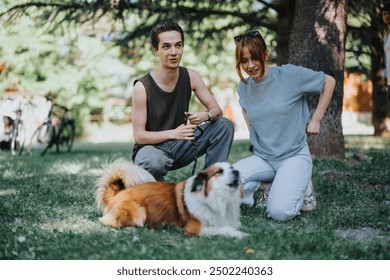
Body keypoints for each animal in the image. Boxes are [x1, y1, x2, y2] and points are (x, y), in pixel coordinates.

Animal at [94, 160, 247, 238]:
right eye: (219, 172)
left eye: (232, 168)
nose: (237, 171)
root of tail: (118, 193)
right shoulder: (194, 228)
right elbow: (225, 228)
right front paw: (241, 234)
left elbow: (233, 224)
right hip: (137, 211)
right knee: (108, 221)